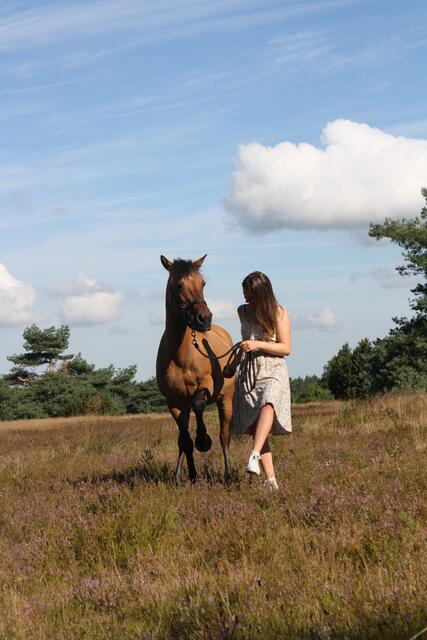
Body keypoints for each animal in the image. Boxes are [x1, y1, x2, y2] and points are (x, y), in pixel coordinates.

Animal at [156, 254, 236, 483]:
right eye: (179, 284)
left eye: (203, 283)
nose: (204, 318)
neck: (180, 354)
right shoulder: (174, 402)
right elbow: (184, 440)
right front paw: (187, 476)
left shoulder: (205, 385)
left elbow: (199, 403)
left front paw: (203, 440)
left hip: (226, 400)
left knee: (224, 436)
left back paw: (228, 474)